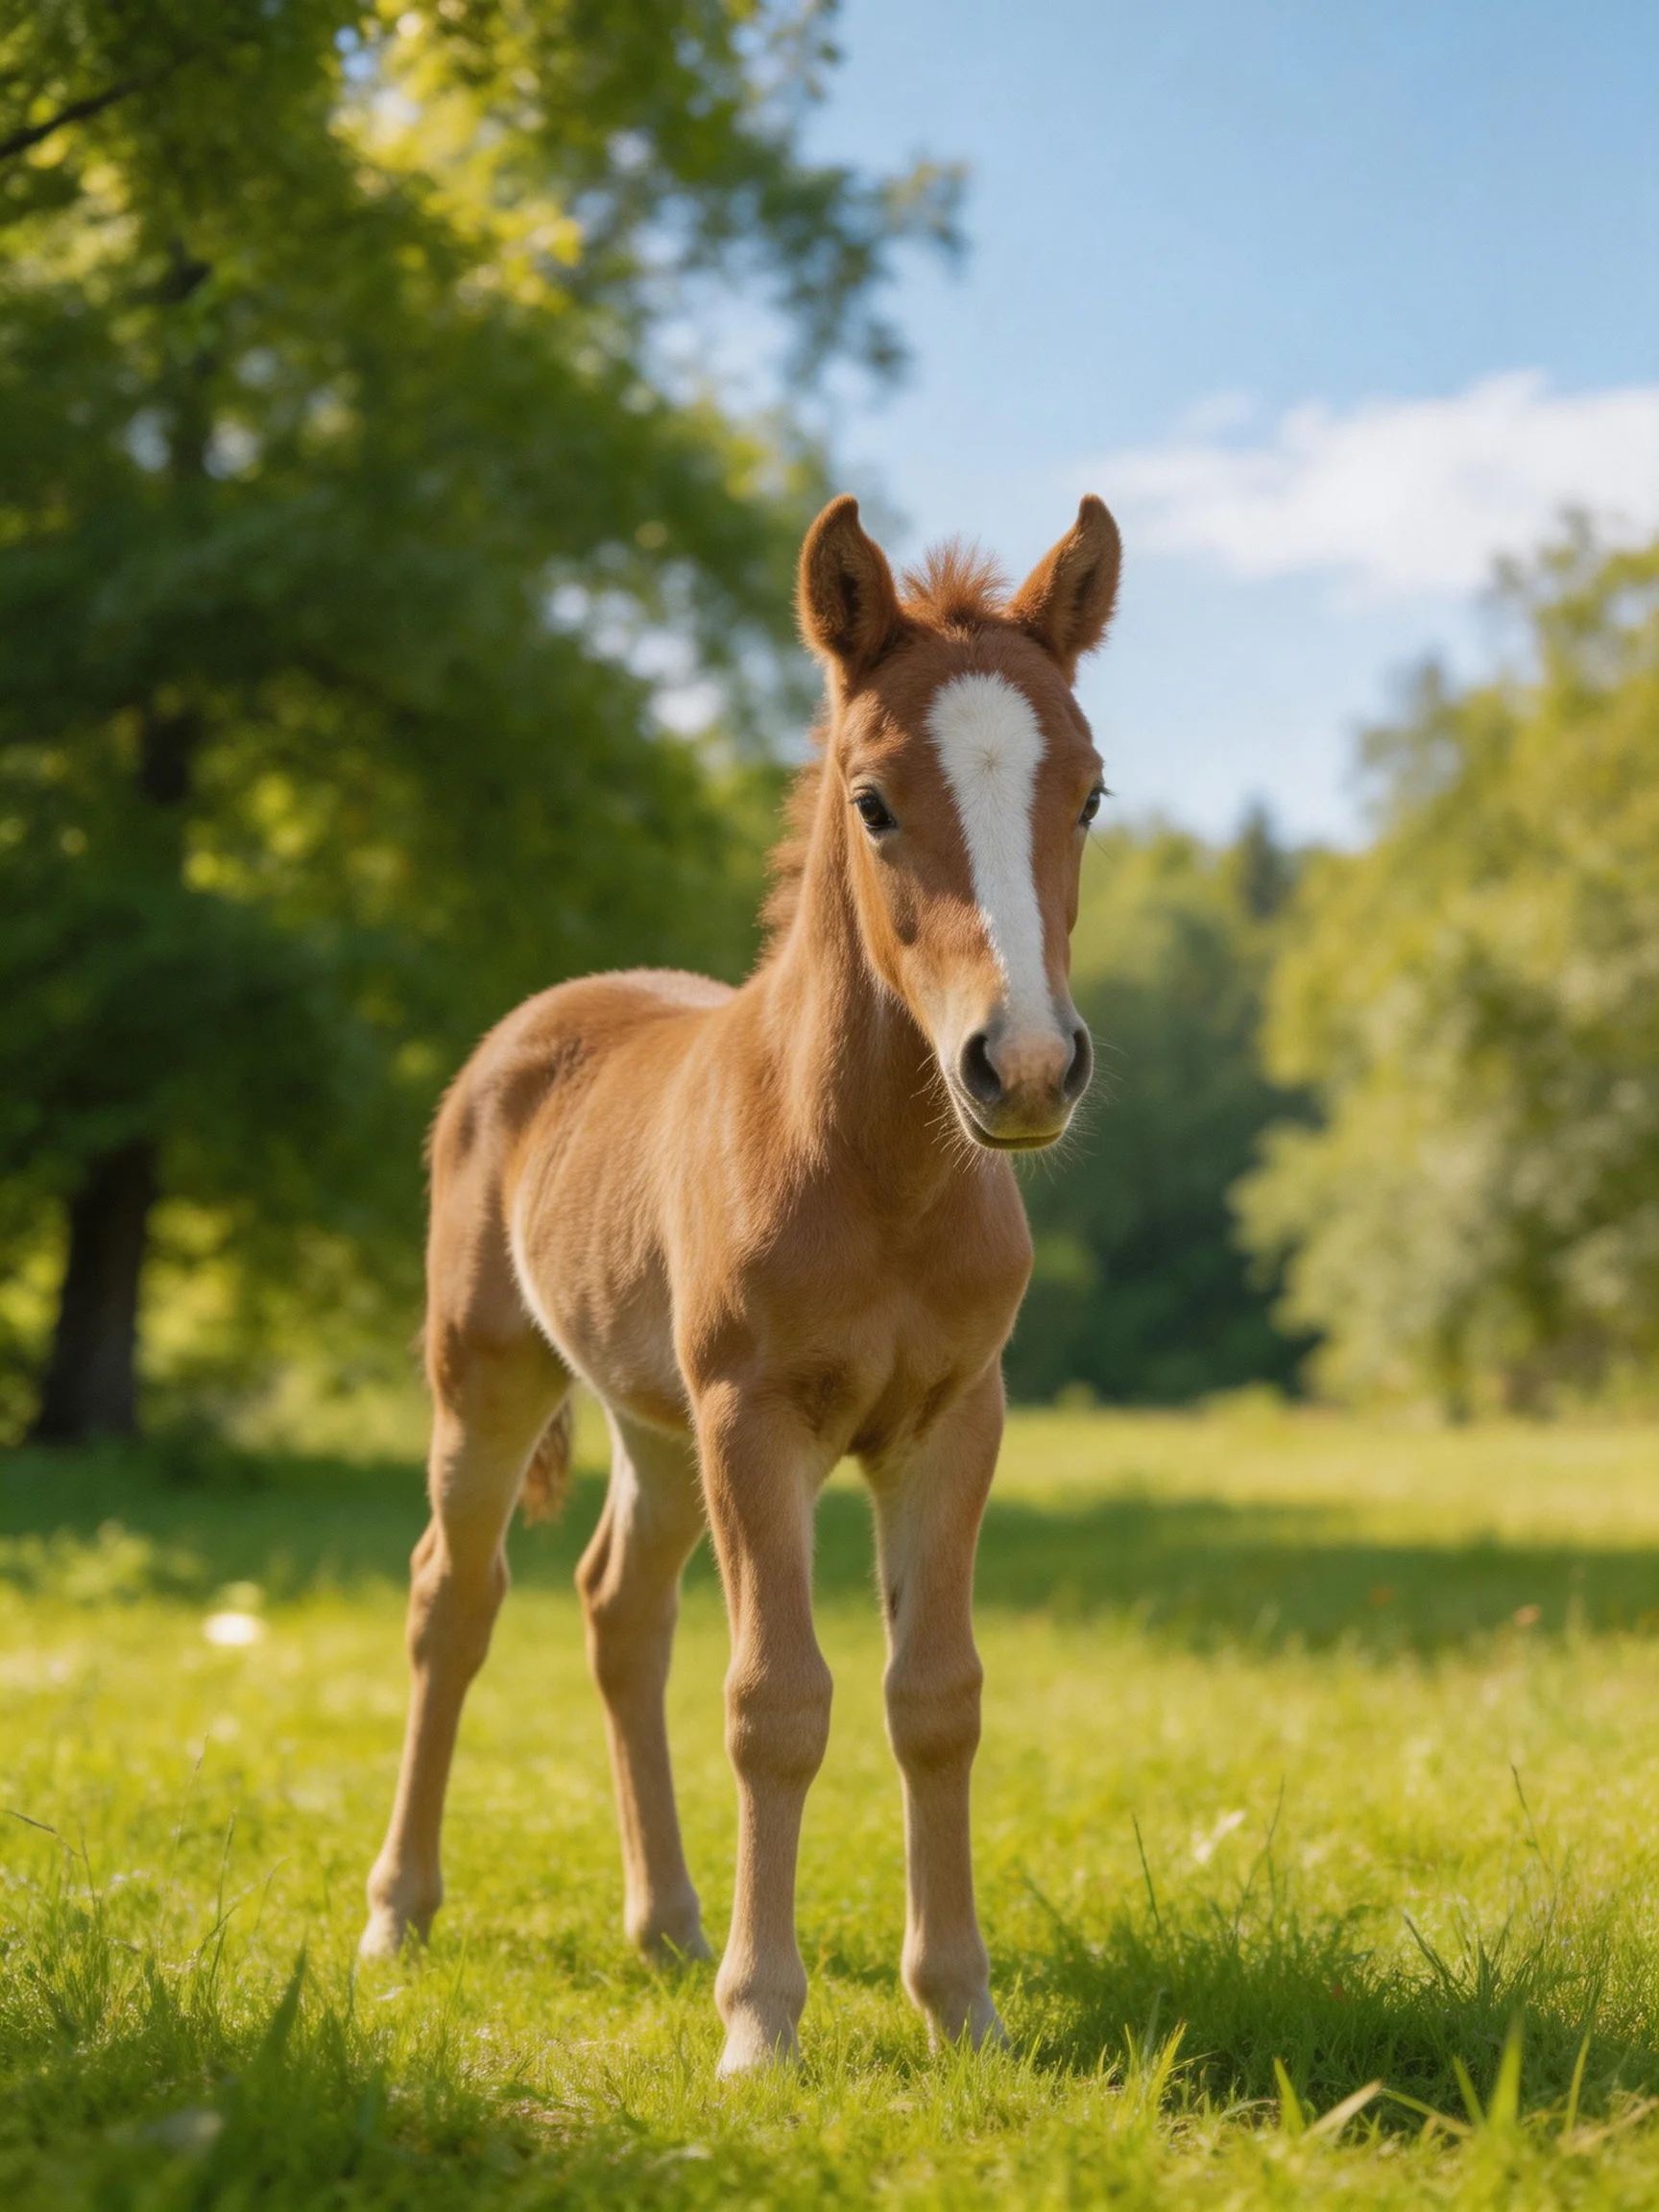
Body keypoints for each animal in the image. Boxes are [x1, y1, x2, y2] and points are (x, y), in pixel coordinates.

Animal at [360, 491, 1122, 2074]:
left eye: (1087, 794)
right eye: (873, 799)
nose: (1024, 1068)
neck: (877, 1176)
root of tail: (536, 1021)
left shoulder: (954, 1421)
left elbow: (935, 1695)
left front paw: (962, 2008)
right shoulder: (753, 1417)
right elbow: (777, 1700)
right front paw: (763, 2027)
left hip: (655, 1427)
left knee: (618, 1612)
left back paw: (666, 1924)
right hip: (493, 1381)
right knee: (451, 1599)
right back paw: (401, 1913)